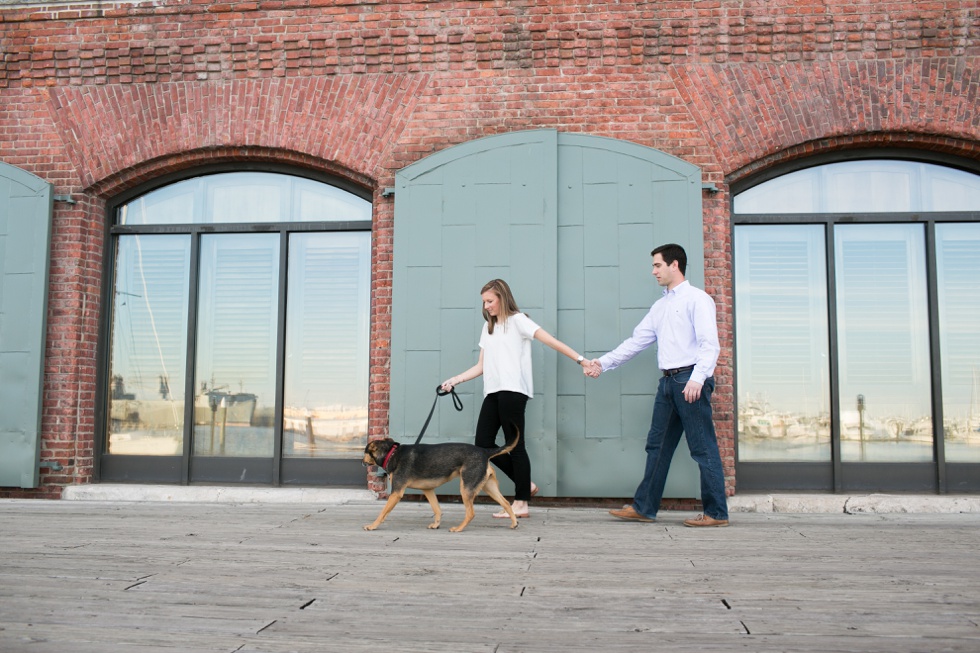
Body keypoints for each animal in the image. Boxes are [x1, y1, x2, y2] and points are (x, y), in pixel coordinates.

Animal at [362, 430, 520, 532]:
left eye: (365, 453)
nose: (362, 463)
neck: (391, 453)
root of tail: (485, 452)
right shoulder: (428, 490)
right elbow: (437, 509)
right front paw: (436, 524)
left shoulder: (396, 493)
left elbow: (382, 512)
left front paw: (372, 525)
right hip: (489, 487)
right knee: (506, 503)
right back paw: (514, 523)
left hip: (466, 489)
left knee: (471, 513)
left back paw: (458, 528)